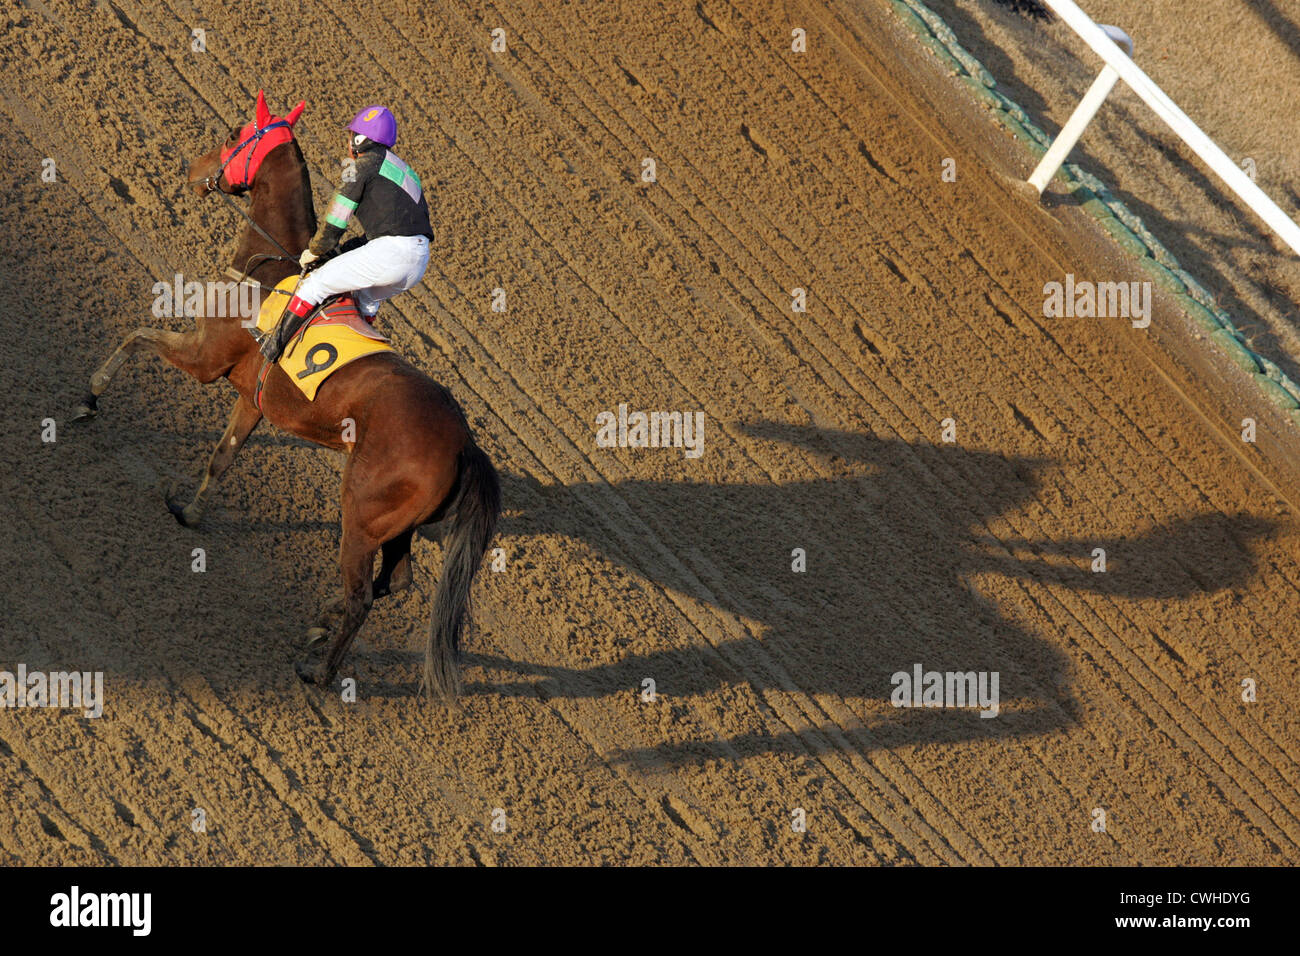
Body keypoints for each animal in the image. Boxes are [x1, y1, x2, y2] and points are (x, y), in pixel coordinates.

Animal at [71, 91, 499, 702]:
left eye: (235, 134)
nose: (194, 171)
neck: (269, 268)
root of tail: (464, 441)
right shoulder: (250, 399)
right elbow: (223, 455)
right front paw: (190, 512)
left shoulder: (205, 361)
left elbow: (136, 337)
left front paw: (90, 396)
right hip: (398, 525)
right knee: (396, 580)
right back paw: (318, 624)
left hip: (361, 515)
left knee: (364, 595)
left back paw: (320, 672)